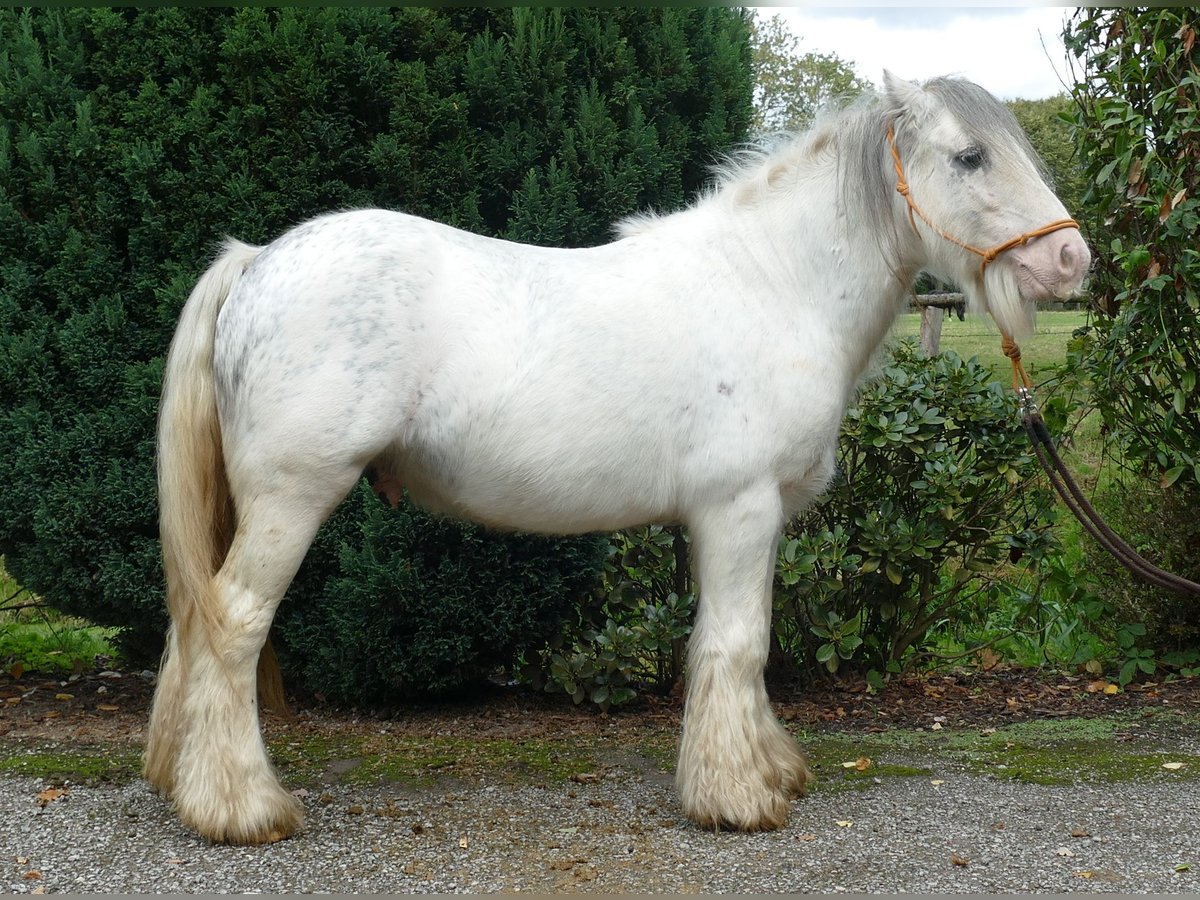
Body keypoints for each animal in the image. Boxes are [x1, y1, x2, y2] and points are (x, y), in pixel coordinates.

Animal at [140, 74, 1089, 849]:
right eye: (969, 155)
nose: (1071, 257)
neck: (773, 283)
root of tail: (255, 263)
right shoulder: (739, 508)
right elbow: (737, 643)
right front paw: (737, 798)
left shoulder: (757, 519)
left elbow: (746, 641)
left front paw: (768, 767)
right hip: (292, 498)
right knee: (233, 624)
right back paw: (241, 809)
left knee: (194, 626)